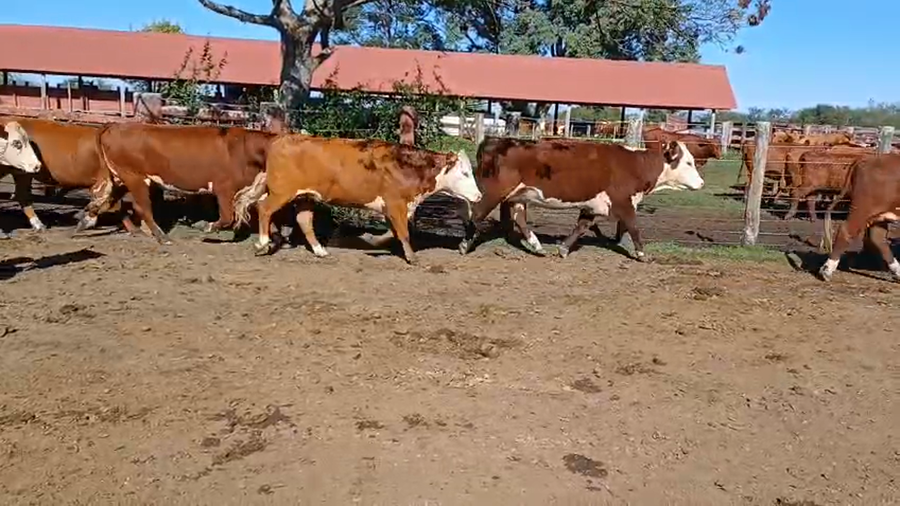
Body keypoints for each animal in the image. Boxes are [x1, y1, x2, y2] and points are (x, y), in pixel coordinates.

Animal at [75, 123, 277, 244]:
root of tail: (115, 125)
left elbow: (266, 213)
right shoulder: (224, 188)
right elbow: (228, 217)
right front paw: (205, 226)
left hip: (120, 178)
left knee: (107, 200)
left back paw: (86, 221)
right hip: (135, 177)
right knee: (142, 208)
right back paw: (162, 237)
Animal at [232, 135, 482, 264]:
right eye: (464, 173)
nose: (479, 196)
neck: (407, 167)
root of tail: (282, 139)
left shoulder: (392, 208)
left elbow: (394, 232)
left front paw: (374, 241)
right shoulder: (395, 204)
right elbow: (403, 232)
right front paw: (411, 257)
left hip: (306, 196)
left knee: (303, 220)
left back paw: (320, 250)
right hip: (282, 192)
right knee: (264, 208)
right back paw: (263, 243)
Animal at [456, 137, 703, 260]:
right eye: (688, 162)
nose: (701, 183)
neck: (635, 165)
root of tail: (496, 141)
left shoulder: (593, 205)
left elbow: (581, 226)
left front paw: (563, 249)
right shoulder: (624, 202)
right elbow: (634, 227)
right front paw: (642, 255)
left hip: (518, 195)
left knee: (519, 219)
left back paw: (537, 247)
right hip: (493, 192)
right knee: (476, 213)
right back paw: (465, 244)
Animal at [819, 154, 900, 282]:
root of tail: (867, 159)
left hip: (878, 214)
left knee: (877, 238)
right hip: (862, 209)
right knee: (846, 231)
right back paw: (827, 270)